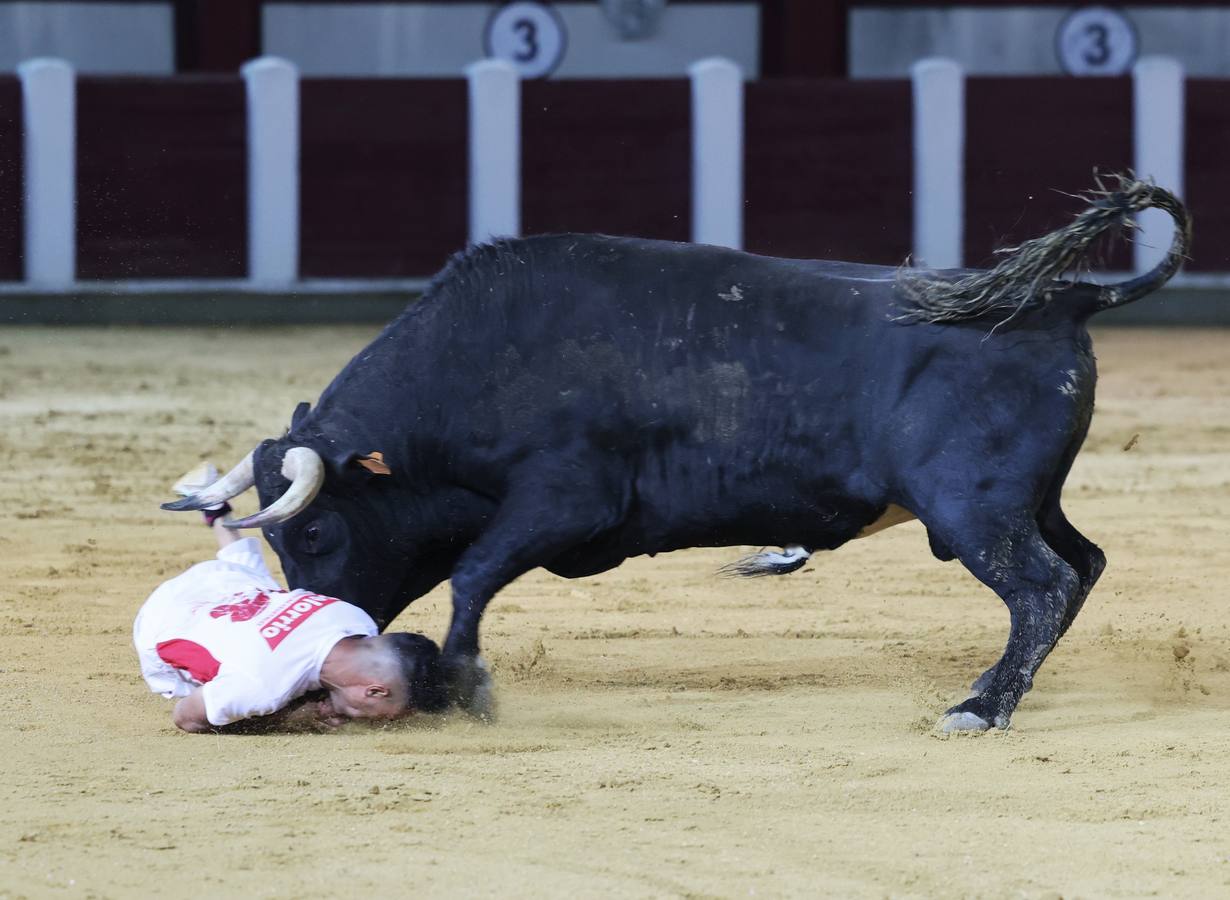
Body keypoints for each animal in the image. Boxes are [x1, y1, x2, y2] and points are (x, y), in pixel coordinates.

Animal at [166, 177, 1190, 732]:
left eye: (319, 532)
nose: (328, 625)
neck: (473, 366)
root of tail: (1066, 297)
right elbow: (472, 573)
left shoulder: (563, 499)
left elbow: (473, 574)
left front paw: (466, 687)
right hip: (1025, 501)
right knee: (1081, 566)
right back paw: (987, 689)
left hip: (973, 509)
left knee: (1040, 588)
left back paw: (981, 708)